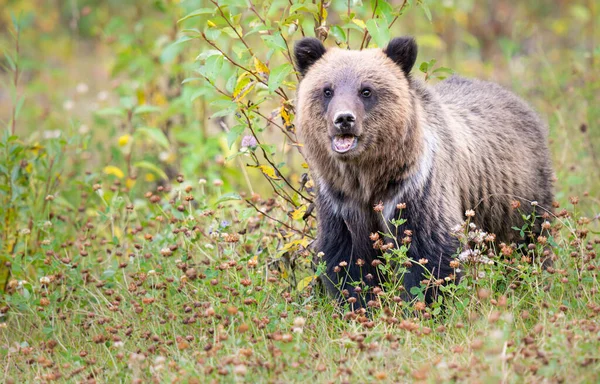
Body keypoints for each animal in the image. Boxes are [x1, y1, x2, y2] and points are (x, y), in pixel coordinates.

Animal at [292, 36, 556, 306]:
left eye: (366, 90)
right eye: (327, 90)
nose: (344, 119)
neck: (369, 177)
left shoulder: (416, 190)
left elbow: (430, 255)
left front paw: (421, 304)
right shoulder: (340, 202)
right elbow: (348, 260)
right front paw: (360, 303)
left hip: (517, 197)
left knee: (529, 239)